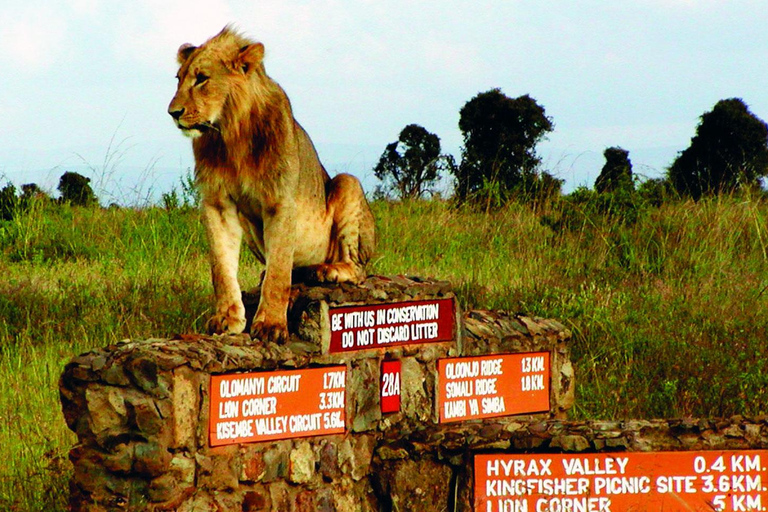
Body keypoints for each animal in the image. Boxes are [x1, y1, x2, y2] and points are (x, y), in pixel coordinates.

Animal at [167, 25, 376, 344]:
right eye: (178, 79)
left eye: (202, 78)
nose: (173, 113)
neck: (231, 133)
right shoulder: (217, 202)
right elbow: (221, 266)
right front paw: (227, 318)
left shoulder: (280, 200)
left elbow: (279, 270)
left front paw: (270, 325)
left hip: (346, 183)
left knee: (358, 269)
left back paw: (326, 271)